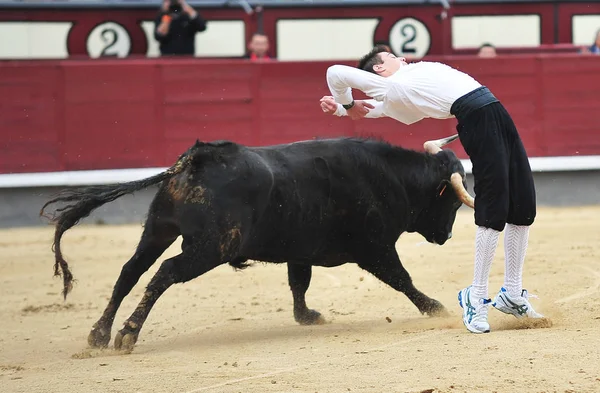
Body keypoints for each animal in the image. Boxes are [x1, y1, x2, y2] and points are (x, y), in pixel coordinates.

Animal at [39, 134, 476, 350]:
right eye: (454, 201)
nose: (447, 236)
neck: (392, 177)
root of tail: (195, 160)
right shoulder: (375, 247)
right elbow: (402, 279)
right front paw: (434, 307)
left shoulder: (302, 249)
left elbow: (299, 283)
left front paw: (307, 316)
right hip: (209, 248)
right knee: (164, 273)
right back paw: (127, 334)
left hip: (158, 230)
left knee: (130, 272)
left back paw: (99, 334)